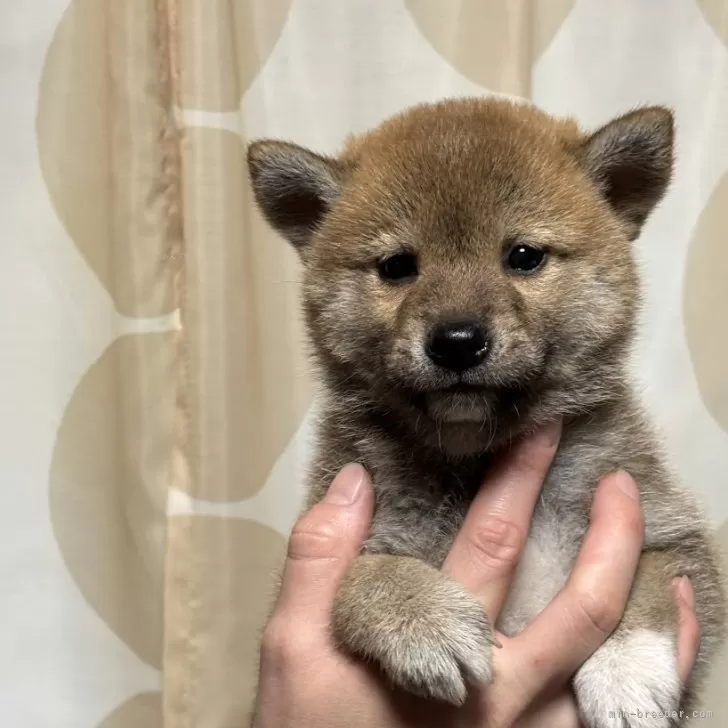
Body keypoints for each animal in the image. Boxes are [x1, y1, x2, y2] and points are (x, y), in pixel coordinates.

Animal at [247, 98, 724, 728]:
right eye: (397, 267)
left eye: (523, 257)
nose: (457, 341)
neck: (475, 455)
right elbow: (360, 575)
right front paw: (420, 619)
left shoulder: (667, 528)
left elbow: (649, 586)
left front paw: (627, 674)